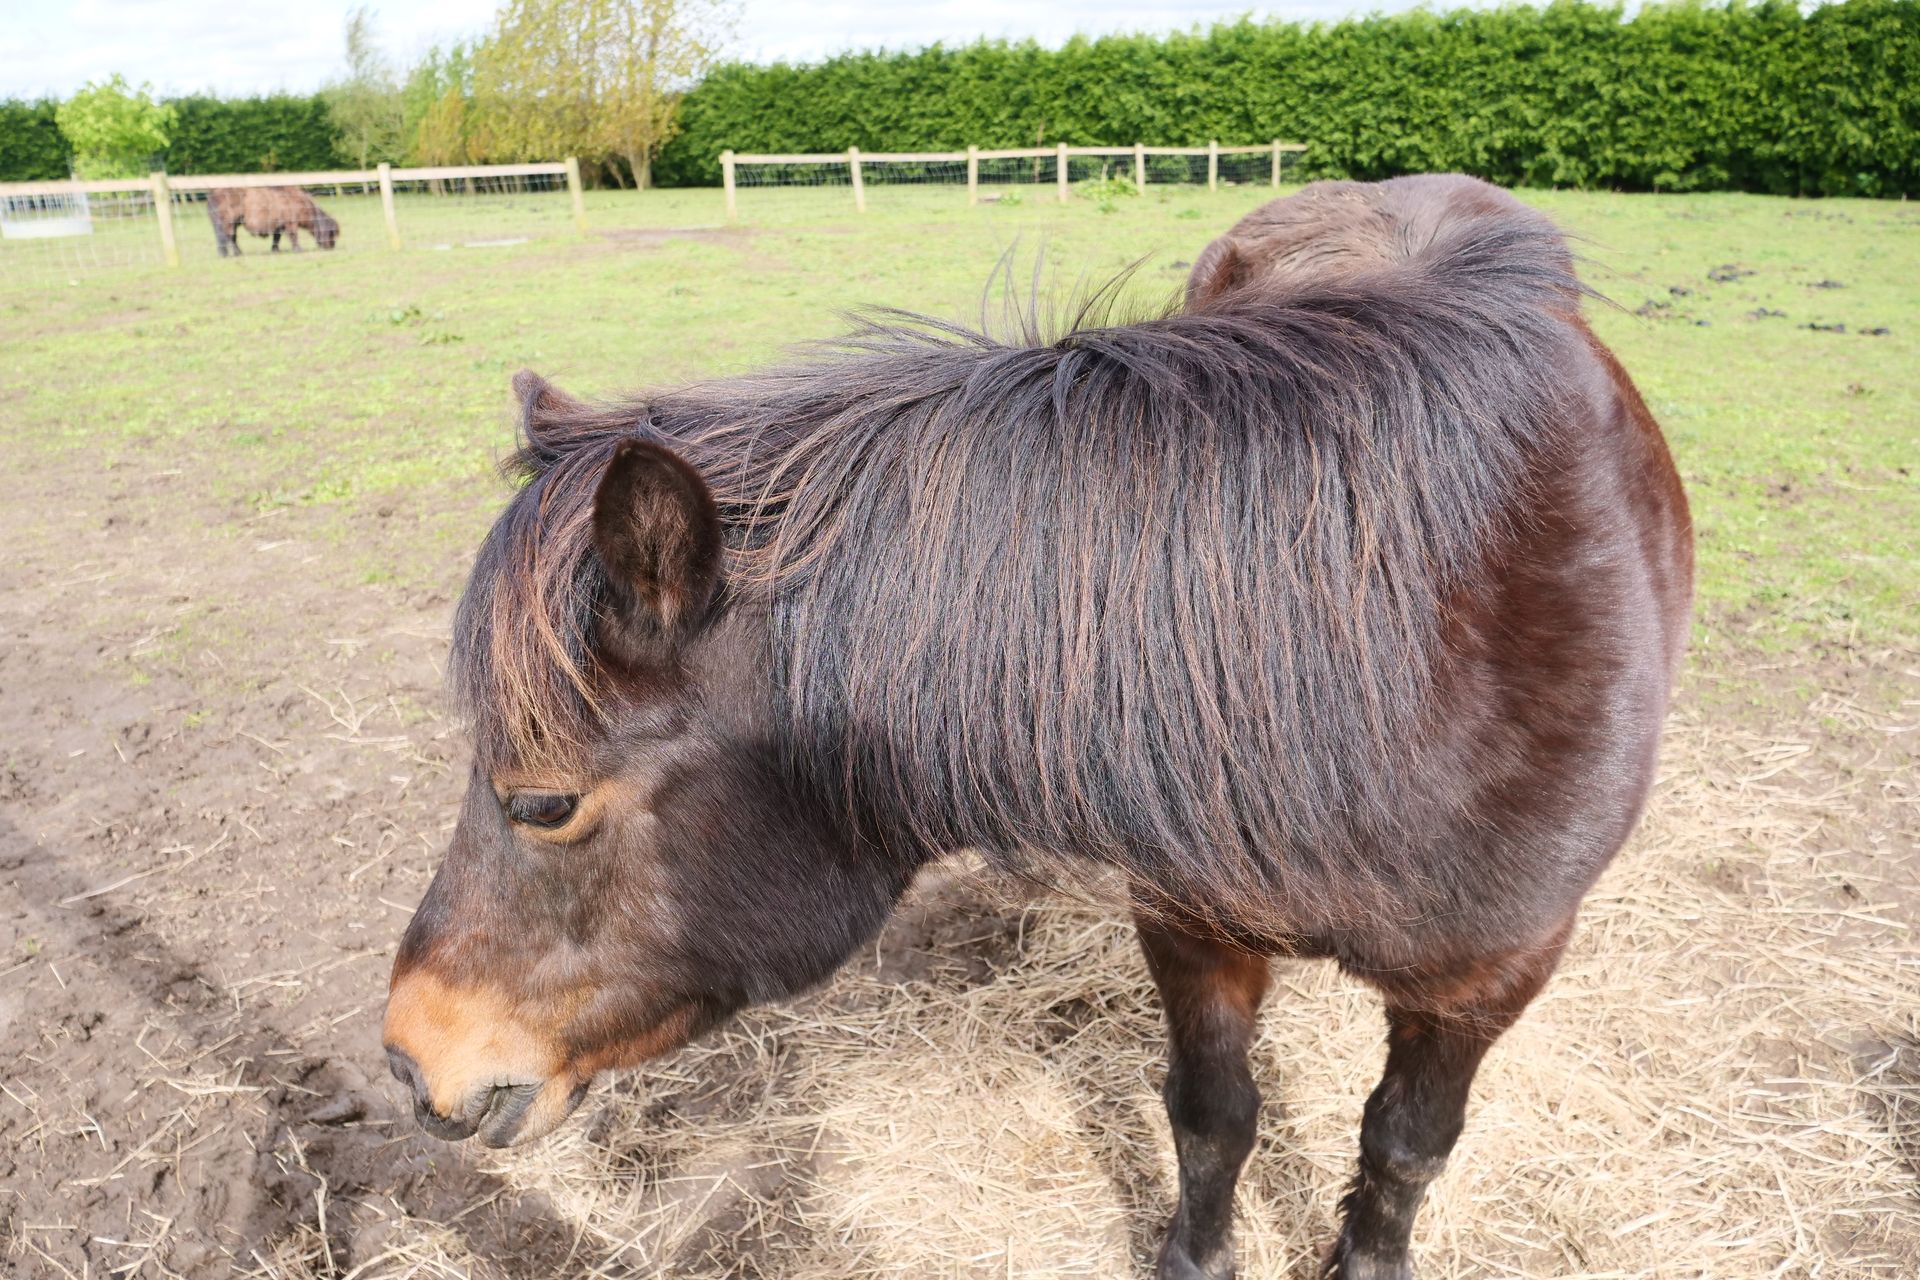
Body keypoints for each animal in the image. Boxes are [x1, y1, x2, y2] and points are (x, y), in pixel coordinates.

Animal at [206, 186, 340, 257]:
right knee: (229, 238)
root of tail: (213, 195)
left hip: (232, 225)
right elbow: (293, 236)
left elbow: (276, 239)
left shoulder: (279, 227)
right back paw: (235, 253)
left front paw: (275, 250)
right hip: (229, 224)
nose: (331, 246)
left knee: (229, 238)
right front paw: (298, 249)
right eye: (331, 233)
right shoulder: (291, 224)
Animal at [382, 173, 1692, 1279]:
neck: (1393, 640)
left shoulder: (1495, 970)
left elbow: (1406, 1143)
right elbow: (1214, 1115)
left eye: (544, 801)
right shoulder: (1191, 920)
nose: (408, 1054)